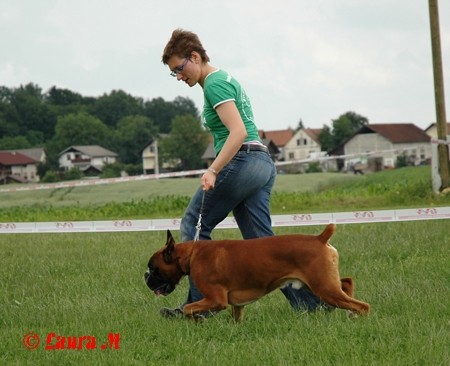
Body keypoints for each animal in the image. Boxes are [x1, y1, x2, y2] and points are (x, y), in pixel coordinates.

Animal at [143, 224, 370, 322]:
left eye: (154, 268)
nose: (145, 276)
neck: (192, 254)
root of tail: (320, 238)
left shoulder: (216, 299)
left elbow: (190, 308)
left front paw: (195, 320)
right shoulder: (235, 304)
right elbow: (236, 317)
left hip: (324, 287)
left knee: (362, 305)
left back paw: (357, 318)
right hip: (323, 282)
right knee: (347, 282)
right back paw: (350, 314)